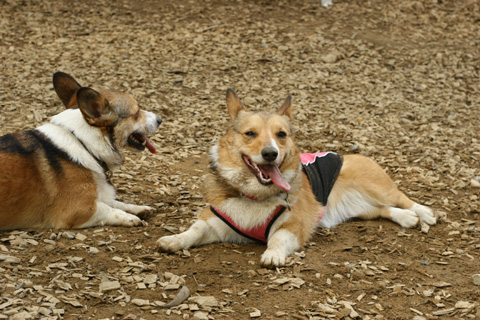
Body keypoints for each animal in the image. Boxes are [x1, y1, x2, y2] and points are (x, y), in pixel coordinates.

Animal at [0, 72, 162, 230]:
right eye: (137, 112)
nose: (160, 119)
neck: (84, 144)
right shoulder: (78, 209)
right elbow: (107, 208)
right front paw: (129, 218)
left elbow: (114, 202)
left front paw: (138, 208)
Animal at [157, 89, 436, 264]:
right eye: (250, 133)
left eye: (281, 134)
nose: (271, 153)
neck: (254, 195)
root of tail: (352, 155)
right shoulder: (213, 222)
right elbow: (192, 232)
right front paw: (172, 240)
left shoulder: (292, 225)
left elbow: (278, 238)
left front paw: (273, 256)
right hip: (358, 209)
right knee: (382, 210)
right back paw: (406, 218)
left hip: (376, 187)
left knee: (401, 199)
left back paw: (423, 213)